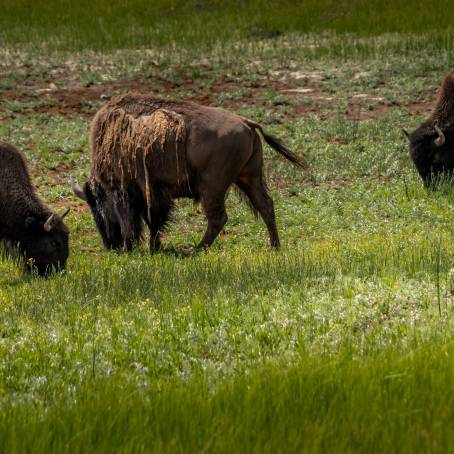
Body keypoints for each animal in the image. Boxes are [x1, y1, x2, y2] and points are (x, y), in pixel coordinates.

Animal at [72, 92, 306, 252]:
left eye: (101, 207)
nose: (112, 246)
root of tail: (246, 122)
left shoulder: (146, 189)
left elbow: (152, 219)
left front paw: (153, 248)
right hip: (248, 178)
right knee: (265, 206)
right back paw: (274, 246)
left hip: (213, 188)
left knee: (219, 218)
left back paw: (197, 249)